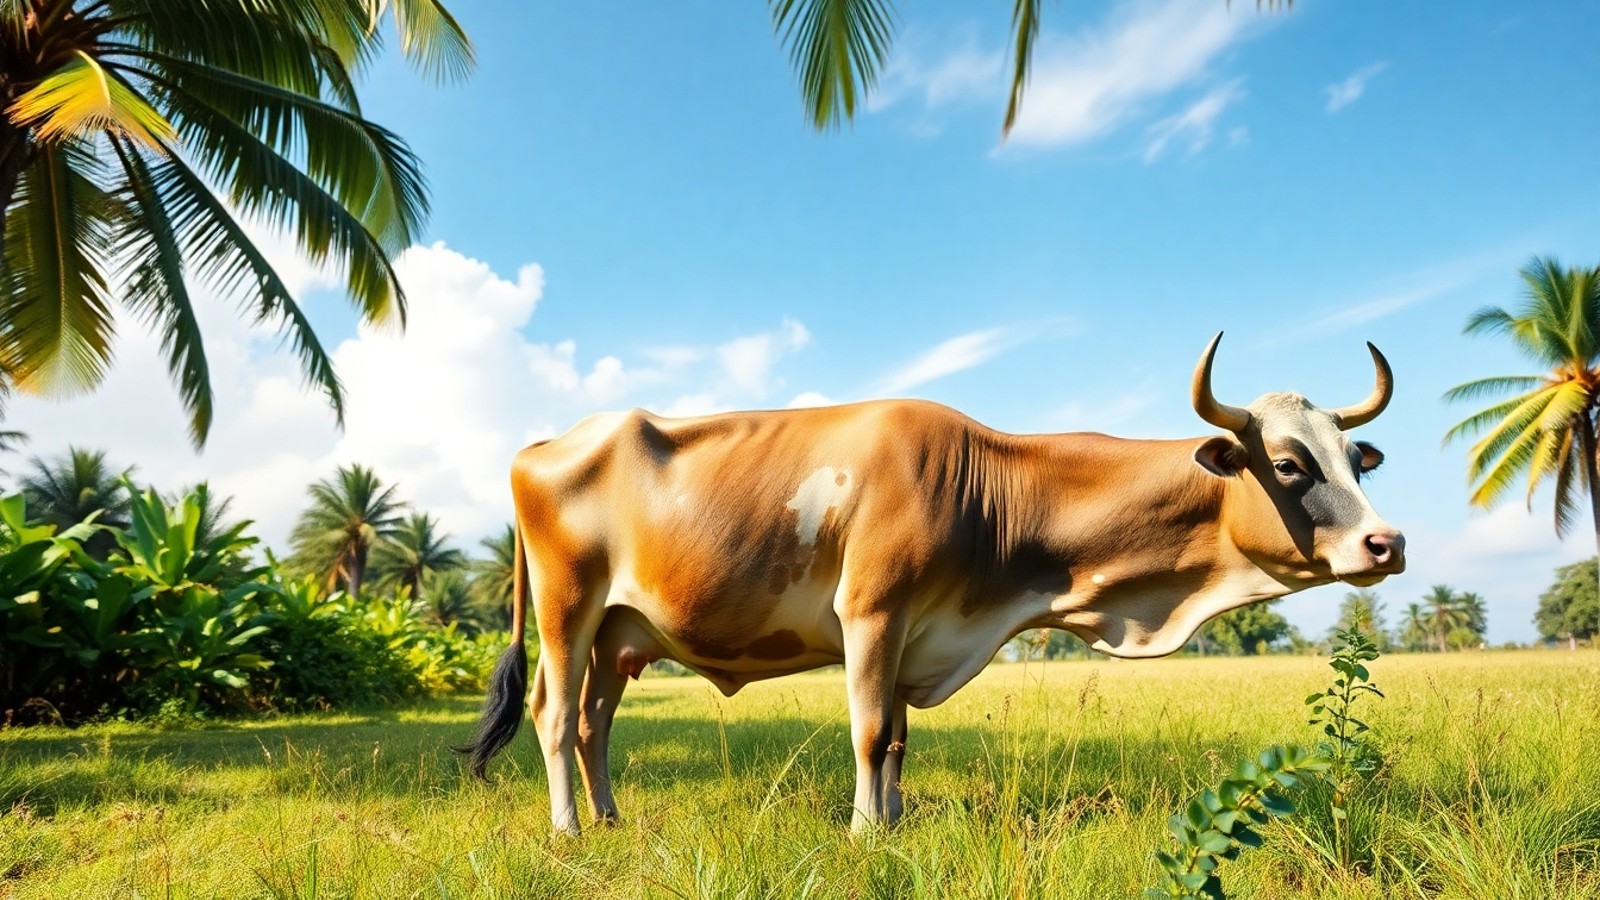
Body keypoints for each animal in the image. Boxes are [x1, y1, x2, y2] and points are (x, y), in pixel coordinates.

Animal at [457, 333, 1405, 834]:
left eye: (1358, 458)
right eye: (1289, 464)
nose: (1387, 542)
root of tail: (547, 440)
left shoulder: (916, 632)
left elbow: (899, 743)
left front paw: (894, 822)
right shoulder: (871, 614)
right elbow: (872, 733)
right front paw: (863, 833)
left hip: (623, 635)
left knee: (592, 722)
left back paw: (611, 819)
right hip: (567, 611)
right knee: (552, 715)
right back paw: (570, 829)